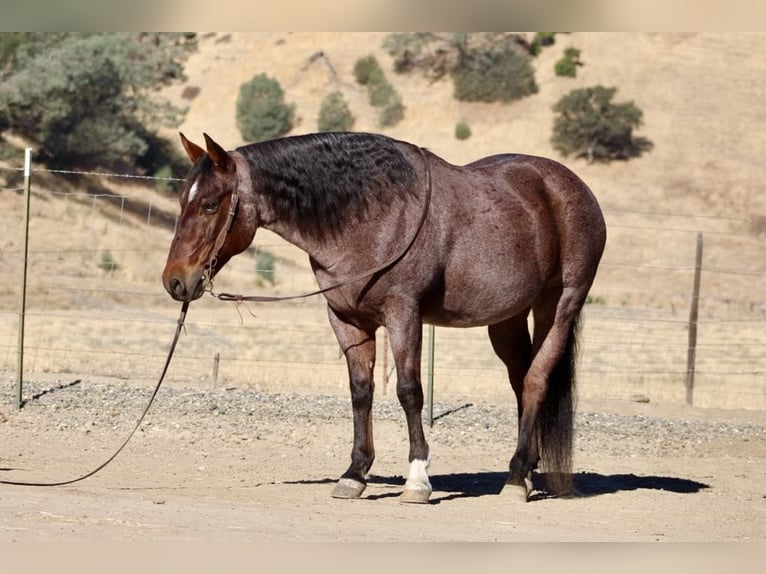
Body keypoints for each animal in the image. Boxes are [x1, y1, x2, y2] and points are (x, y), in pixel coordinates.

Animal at [162, 131, 606, 503]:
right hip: (507, 318)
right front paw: (354, 474)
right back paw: (525, 470)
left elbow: (410, 392)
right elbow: (361, 391)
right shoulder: (346, 320)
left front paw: (418, 479)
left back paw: (515, 479)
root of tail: (571, 187)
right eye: (183, 200)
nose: (175, 281)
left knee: (535, 382)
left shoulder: (403, 314)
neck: (370, 216)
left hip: (559, 306)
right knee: (520, 382)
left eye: (210, 204)